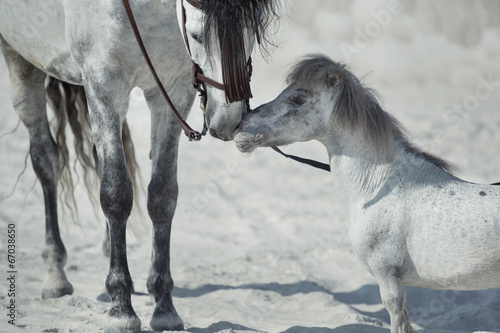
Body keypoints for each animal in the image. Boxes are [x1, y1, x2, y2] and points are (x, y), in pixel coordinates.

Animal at [0, 1, 278, 330]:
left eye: (252, 34)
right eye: (197, 35)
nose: (228, 120)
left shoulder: (172, 90)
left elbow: (162, 196)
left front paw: (164, 306)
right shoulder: (104, 85)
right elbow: (116, 195)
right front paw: (121, 309)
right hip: (20, 57)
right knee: (46, 161)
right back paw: (55, 274)